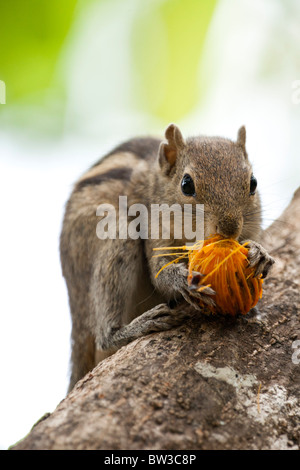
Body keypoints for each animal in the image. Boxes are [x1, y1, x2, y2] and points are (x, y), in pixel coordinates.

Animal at [59, 123, 276, 392]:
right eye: (186, 184)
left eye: (253, 183)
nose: (230, 229)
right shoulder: (154, 226)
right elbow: (159, 272)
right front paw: (183, 282)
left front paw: (259, 252)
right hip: (115, 238)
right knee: (103, 337)